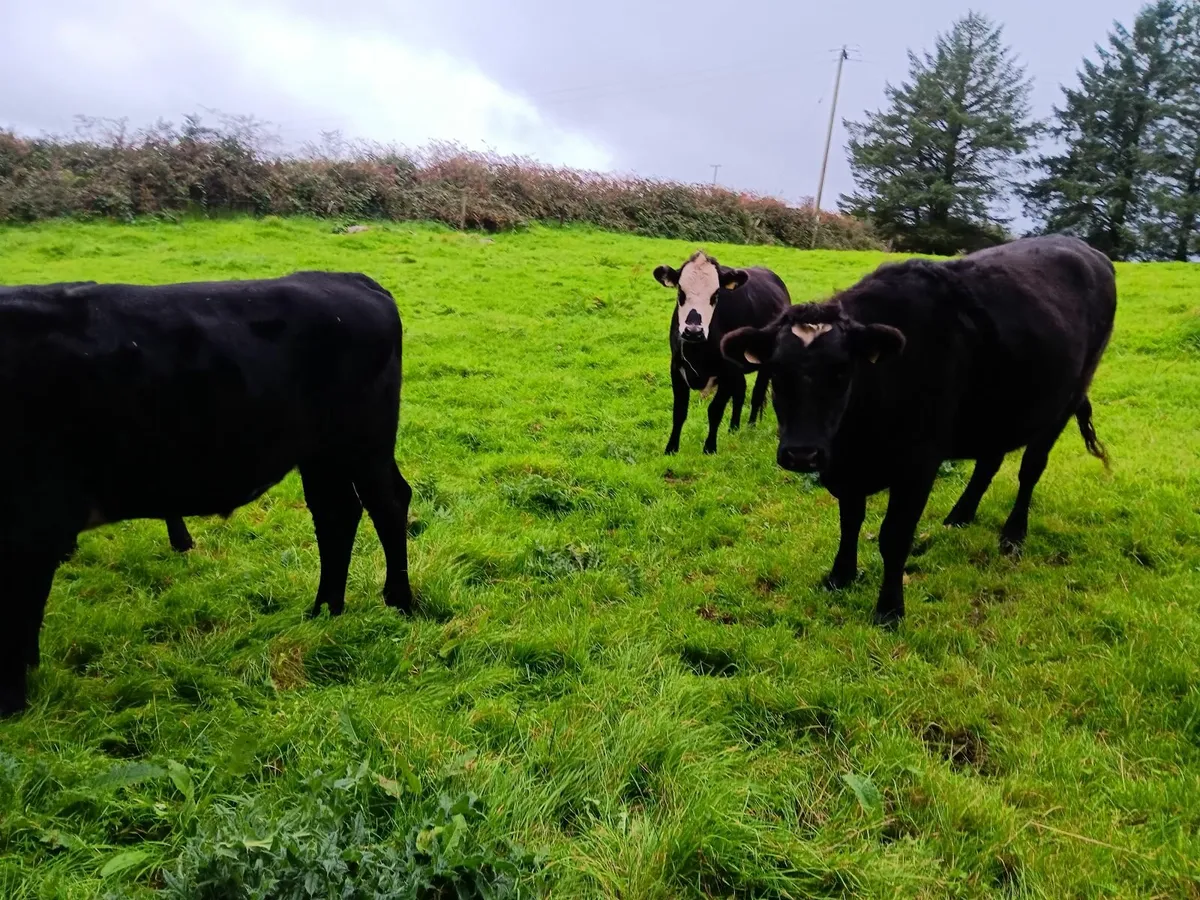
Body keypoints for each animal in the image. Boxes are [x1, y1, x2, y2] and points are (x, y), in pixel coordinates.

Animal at [653, 251, 791, 455]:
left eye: (715, 294)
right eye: (680, 292)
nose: (693, 331)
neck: (697, 351)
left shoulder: (728, 370)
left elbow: (715, 410)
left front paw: (709, 448)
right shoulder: (677, 367)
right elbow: (679, 411)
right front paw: (671, 449)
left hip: (764, 363)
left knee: (756, 394)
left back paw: (750, 426)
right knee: (740, 392)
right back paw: (733, 428)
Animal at [720, 235, 1117, 627]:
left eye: (843, 371)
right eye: (777, 372)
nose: (802, 454)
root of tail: (1086, 249)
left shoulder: (919, 465)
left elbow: (894, 536)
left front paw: (889, 609)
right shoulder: (847, 469)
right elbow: (850, 522)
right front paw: (840, 576)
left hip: (1065, 402)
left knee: (1030, 469)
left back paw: (1013, 535)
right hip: (997, 412)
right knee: (988, 462)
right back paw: (959, 516)